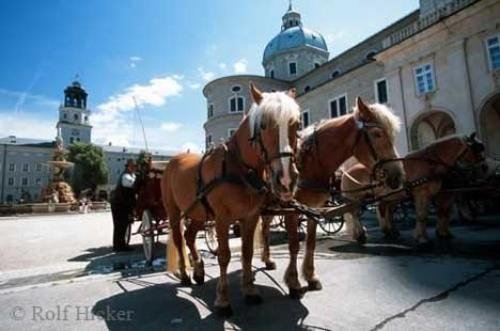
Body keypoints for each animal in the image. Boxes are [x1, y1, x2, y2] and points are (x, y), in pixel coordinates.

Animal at [162, 83, 298, 316]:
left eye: (296, 124)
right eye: (263, 125)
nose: (287, 180)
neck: (239, 168)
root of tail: (175, 159)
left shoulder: (250, 217)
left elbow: (247, 252)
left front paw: (249, 290)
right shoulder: (222, 219)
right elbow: (224, 255)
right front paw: (223, 300)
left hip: (198, 212)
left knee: (190, 236)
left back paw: (198, 270)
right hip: (173, 210)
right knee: (180, 239)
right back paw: (185, 274)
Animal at [340, 133, 484, 246]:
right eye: (476, 148)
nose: (484, 164)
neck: (430, 163)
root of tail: (346, 172)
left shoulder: (436, 195)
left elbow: (441, 213)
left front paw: (442, 233)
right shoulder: (423, 194)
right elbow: (422, 215)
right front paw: (422, 238)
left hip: (389, 197)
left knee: (383, 211)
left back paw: (390, 231)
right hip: (355, 198)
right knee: (355, 215)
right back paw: (360, 235)